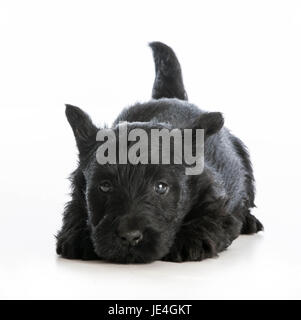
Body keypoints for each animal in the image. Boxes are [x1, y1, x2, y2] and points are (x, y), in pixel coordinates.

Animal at [56, 42, 262, 262]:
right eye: (104, 186)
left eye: (161, 187)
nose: (130, 237)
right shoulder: (78, 186)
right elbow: (74, 210)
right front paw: (76, 237)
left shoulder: (215, 198)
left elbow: (212, 217)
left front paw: (191, 241)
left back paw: (250, 221)